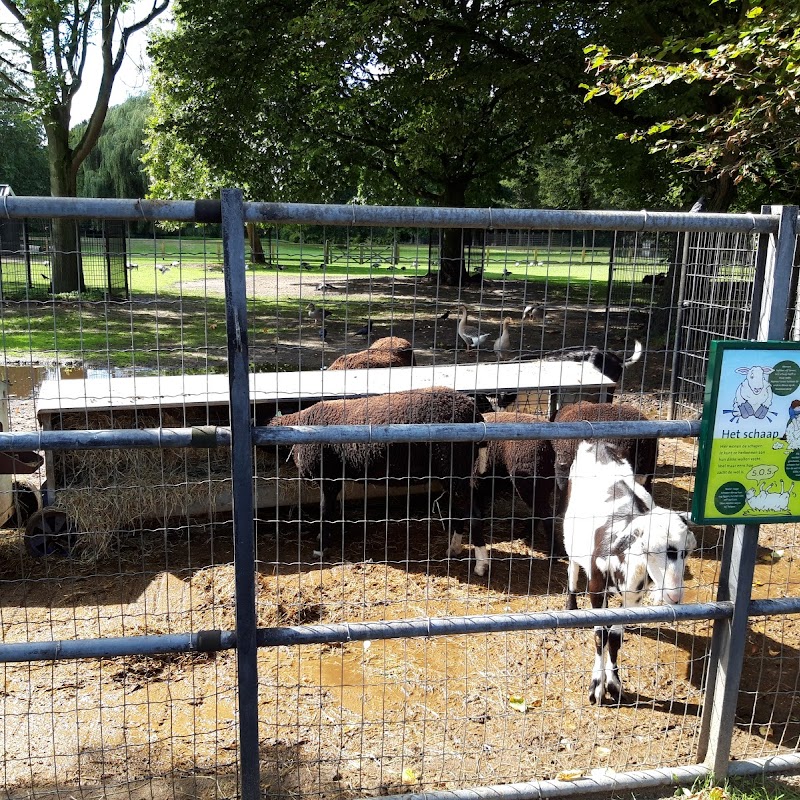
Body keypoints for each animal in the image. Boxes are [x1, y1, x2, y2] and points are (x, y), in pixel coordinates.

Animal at [268, 388, 488, 576]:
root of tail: (474, 412)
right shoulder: (335, 478)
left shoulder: (328, 477)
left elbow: (325, 512)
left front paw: (320, 549)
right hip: (453, 473)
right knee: (460, 510)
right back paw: (454, 548)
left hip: (454, 466)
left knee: (474, 514)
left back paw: (480, 565)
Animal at [564, 438, 692, 708]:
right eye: (647, 548)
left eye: (686, 551)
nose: (674, 596)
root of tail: (598, 442)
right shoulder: (596, 588)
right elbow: (600, 635)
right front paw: (596, 687)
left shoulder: (633, 596)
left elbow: (615, 637)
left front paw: (614, 684)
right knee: (572, 565)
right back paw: (571, 605)